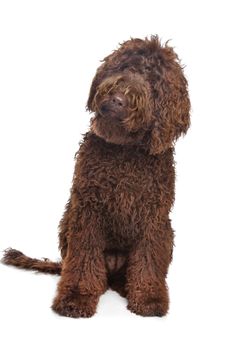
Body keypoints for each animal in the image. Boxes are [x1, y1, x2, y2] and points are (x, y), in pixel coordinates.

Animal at [2, 35, 190, 318]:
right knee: (83, 267)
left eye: (153, 80)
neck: (125, 149)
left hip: (167, 233)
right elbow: (83, 260)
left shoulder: (153, 217)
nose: (118, 98)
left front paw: (148, 297)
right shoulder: (88, 211)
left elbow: (147, 259)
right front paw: (77, 297)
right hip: (68, 223)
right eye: (125, 66)